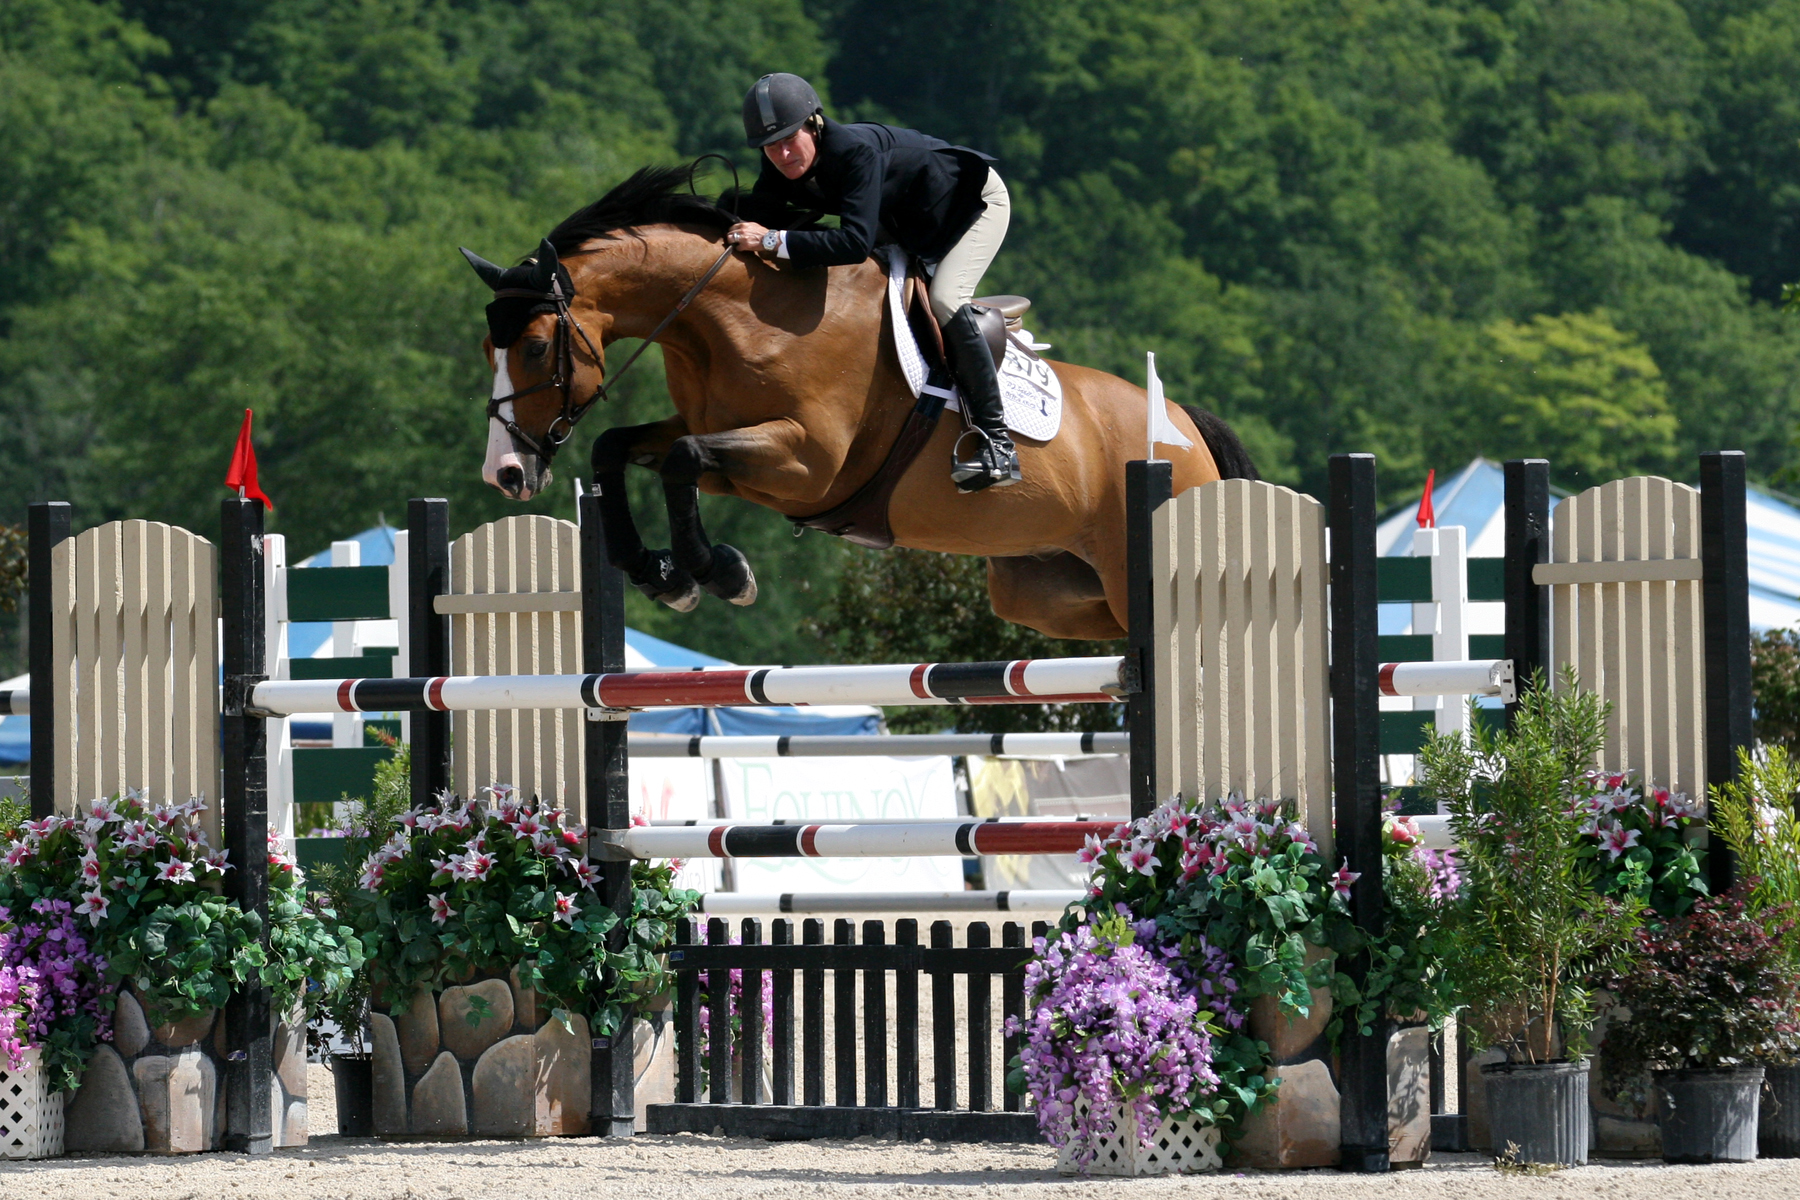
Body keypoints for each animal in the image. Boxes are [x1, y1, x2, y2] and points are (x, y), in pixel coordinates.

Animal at [464, 166, 1252, 647]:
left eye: (534, 347)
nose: (505, 474)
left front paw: (721, 573)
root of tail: (1186, 429)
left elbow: (682, 460)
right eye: (487, 348)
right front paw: (664, 577)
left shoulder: (804, 464)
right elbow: (621, 449)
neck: (734, 318)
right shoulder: (730, 445)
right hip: (1046, 590)